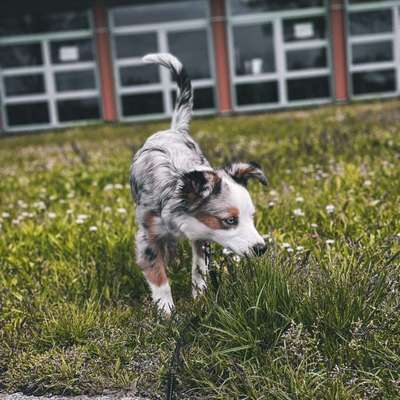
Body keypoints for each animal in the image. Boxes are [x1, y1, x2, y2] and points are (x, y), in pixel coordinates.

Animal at [131, 54, 268, 316]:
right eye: (230, 221)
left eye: (252, 217)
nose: (261, 248)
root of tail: (173, 130)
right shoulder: (147, 237)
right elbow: (158, 276)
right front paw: (167, 312)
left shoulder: (202, 235)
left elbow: (199, 268)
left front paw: (199, 298)